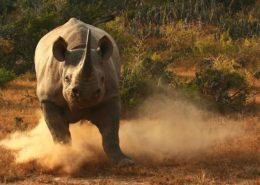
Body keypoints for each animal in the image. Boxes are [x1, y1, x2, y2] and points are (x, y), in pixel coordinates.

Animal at [34, 18, 134, 165]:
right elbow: (59, 131)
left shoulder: (111, 95)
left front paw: (124, 162)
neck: (79, 47)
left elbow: (111, 131)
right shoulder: (48, 99)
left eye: (103, 78)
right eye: (66, 78)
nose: (87, 95)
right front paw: (66, 159)